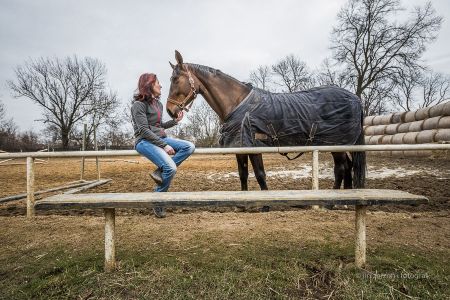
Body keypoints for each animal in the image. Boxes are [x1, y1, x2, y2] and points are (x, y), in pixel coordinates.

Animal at [165, 49, 366, 190]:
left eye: (175, 79)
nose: (170, 110)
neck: (238, 104)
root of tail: (355, 99)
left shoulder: (254, 146)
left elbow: (260, 174)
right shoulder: (240, 147)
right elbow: (243, 174)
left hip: (336, 143)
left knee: (341, 168)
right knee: (347, 167)